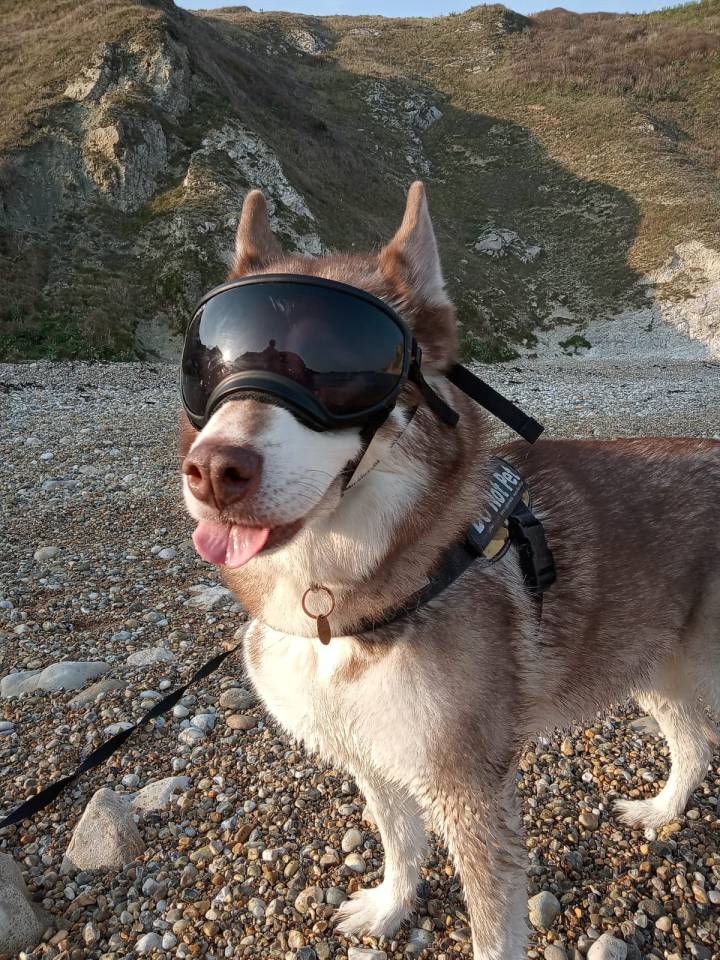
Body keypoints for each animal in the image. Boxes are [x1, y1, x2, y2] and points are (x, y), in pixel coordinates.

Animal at [180, 182, 720, 960]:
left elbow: (493, 928)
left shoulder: (470, 791)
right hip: (650, 661)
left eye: (344, 368)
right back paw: (663, 808)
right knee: (694, 743)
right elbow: (400, 845)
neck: (343, 603)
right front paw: (389, 908)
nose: (214, 471)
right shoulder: (373, 758)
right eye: (209, 361)